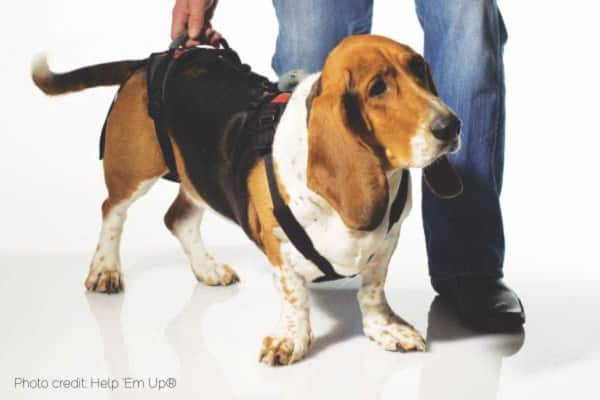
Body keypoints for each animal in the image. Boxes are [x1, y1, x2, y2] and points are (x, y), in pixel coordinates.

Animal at [32, 34, 462, 366]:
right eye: (377, 89)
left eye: (419, 70)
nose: (451, 125)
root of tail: (149, 62)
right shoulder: (278, 243)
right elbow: (294, 295)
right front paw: (291, 340)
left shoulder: (388, 243)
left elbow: (372, 291)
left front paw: (384, 329)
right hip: (132, 171)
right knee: (112, 211)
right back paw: (105, 270)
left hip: (199, 175)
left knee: (178, 218)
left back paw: (207, 269)